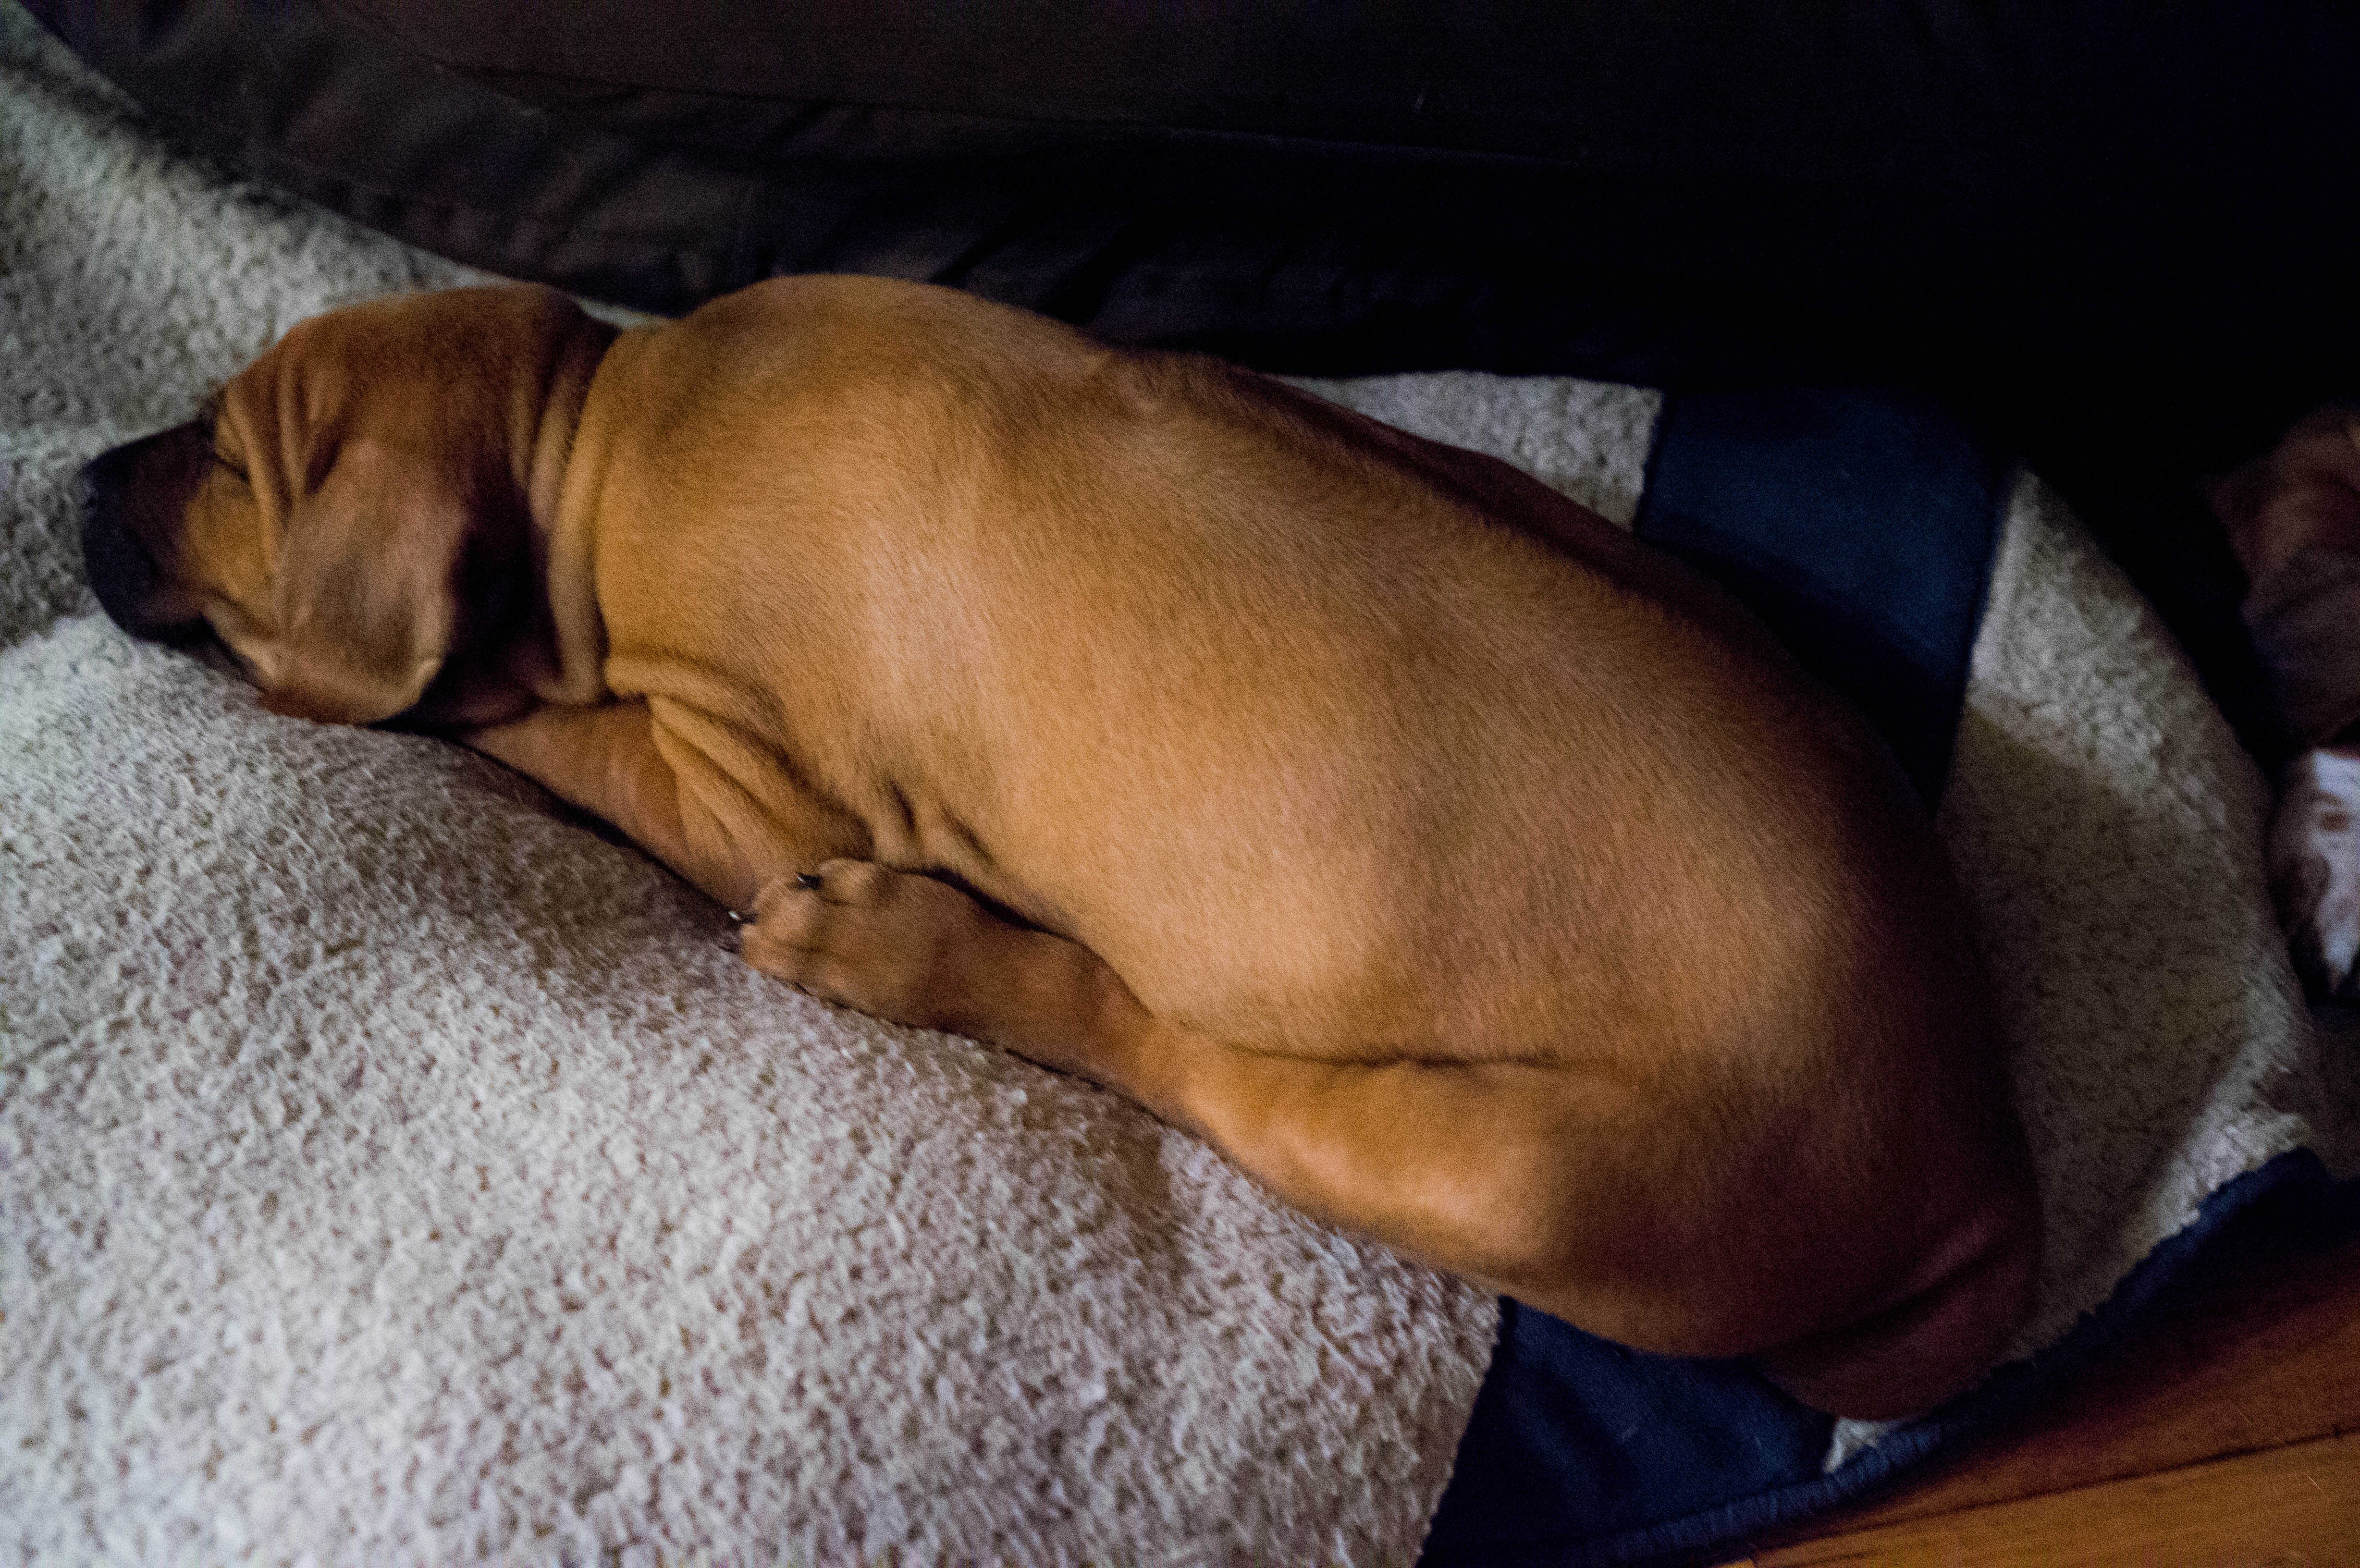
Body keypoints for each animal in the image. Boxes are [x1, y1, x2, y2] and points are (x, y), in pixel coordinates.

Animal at [69, 279, 2029, 1417]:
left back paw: (899, 948)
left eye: (230, 465)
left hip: (1516, 1168)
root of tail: (1976, 1149)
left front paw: (432, 693)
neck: (599, 425)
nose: (75, 479)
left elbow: (551, 726)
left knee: (1163, 1049)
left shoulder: (741, 781)